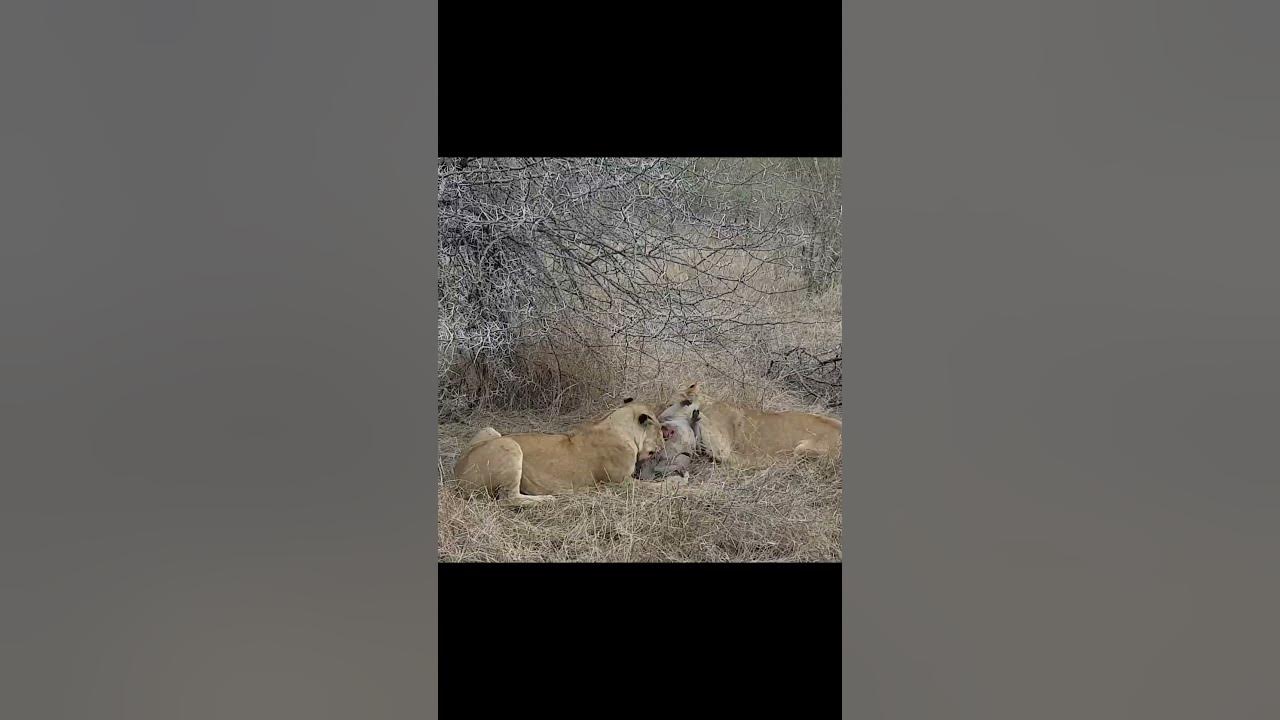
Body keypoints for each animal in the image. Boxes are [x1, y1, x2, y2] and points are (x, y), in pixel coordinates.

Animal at [453, 399, 673, 507]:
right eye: (660, 430)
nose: (664, 444)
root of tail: (457, 478)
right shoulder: (620, 483)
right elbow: (656, 487)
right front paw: (677, 484)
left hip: (490, 430)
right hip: (510, 445)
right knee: (508, 499)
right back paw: (549, 499)